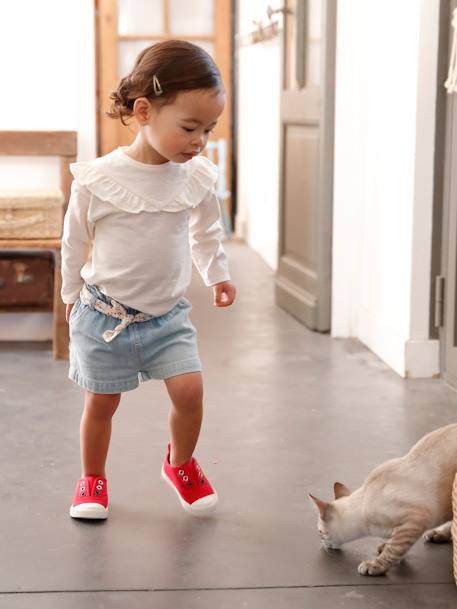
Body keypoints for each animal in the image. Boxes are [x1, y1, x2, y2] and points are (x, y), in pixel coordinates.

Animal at [308, 422, 456, 576]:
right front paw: (384, 547)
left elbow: (393, 549)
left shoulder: (414, 521)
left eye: (320, 532)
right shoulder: (406, 529)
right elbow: (395, 545)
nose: (323, 545)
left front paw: (375, 565)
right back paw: (437, 533)